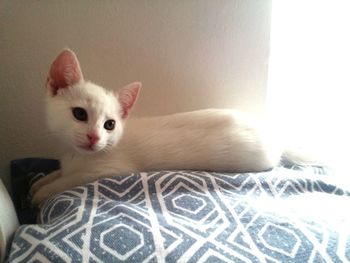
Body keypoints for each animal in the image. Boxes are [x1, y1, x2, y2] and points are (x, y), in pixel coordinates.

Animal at [30, 49, 282, 206]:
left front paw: (39, 193)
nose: (94, 137)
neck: (76, 156)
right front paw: (39, 182)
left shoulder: (107, 170)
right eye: (80, 114)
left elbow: (66, 180)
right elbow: (57, 173)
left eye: (109, 124)